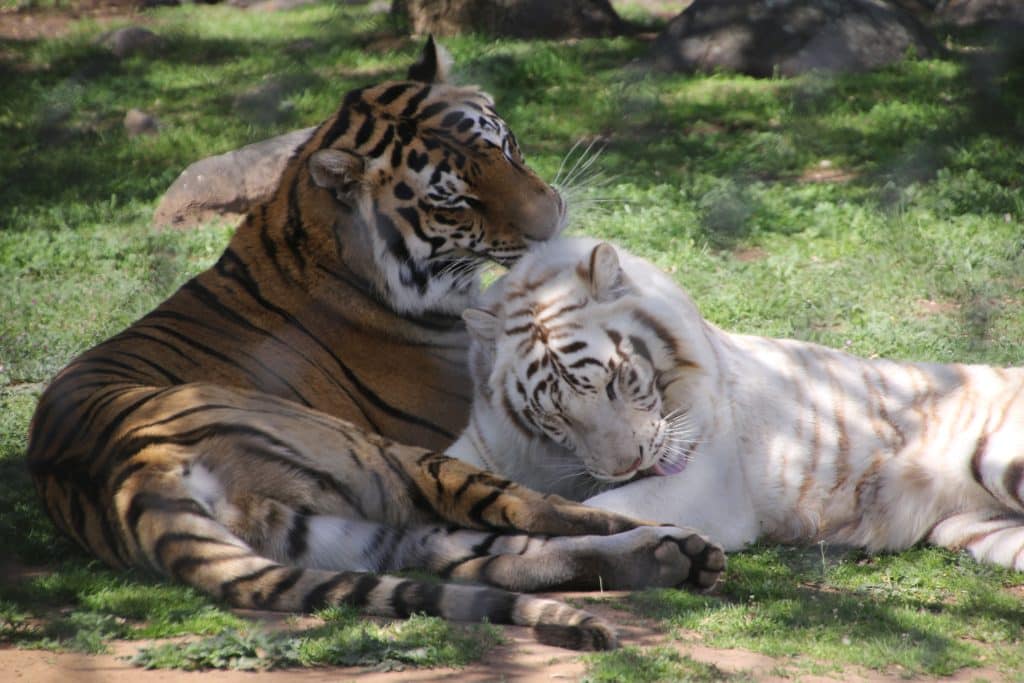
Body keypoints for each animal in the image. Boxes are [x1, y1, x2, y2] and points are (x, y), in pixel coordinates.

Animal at [25, 41, 726, 651]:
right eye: (456, 201)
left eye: (504, 148)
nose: (549, 221)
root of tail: (132, 470)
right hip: (388, 456)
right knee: (535, 510)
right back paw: (672, 536)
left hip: (350, 532)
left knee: (480, 562)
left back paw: (673, 559)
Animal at [449, 236, 1024, 569]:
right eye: (555, 414)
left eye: (615, 381)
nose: (625, 466)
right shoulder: (483, 444)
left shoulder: (703, 482)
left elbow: (593, 510)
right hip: (981, 530)